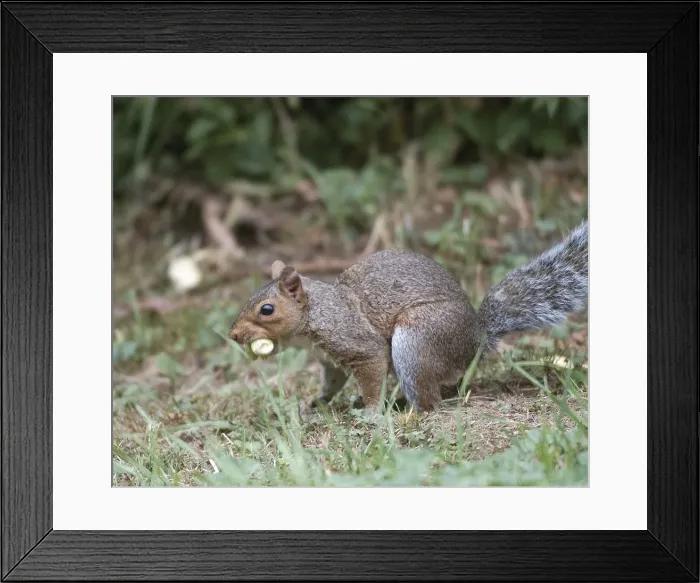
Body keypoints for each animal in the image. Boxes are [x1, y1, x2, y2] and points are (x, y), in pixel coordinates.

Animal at [228, 220, 588, 416]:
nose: (233, 335)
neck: (316, 313)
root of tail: (476, 341)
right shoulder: (330, 360)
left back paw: (406, 412)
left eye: (267, 310)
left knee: (429, 401)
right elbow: (332, 382)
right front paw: (316, 402)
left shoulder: (355, 341)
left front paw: (371, 411)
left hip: (417, 340)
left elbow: (372, 370)